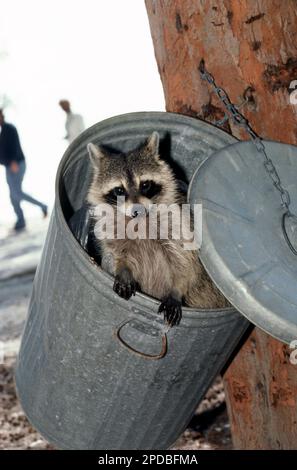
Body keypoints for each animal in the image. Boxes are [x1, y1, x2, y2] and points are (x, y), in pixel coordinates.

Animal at [86, 130, 228, 324]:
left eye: (145, 184)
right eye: (119, 190)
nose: (137, 210)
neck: (139, 221)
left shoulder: (178, 222)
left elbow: (185, 262)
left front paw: (177, 290)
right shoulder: (112, 231)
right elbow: (115, 254)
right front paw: (123, 270)